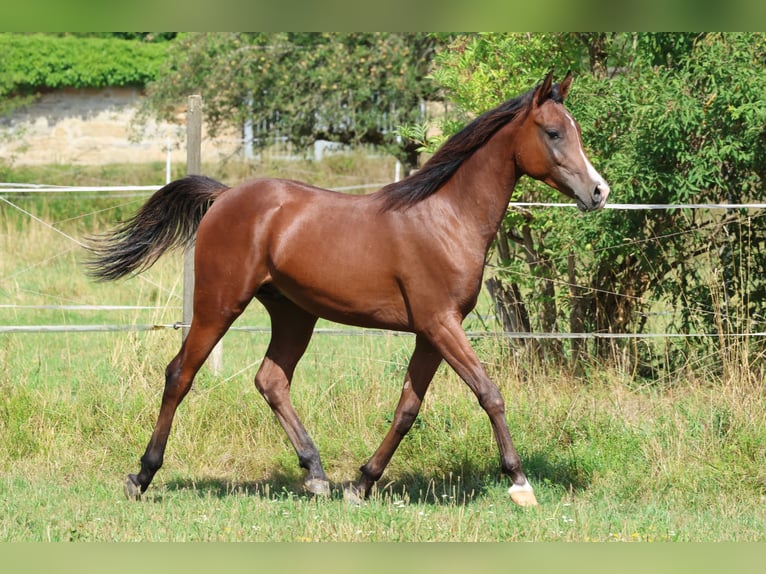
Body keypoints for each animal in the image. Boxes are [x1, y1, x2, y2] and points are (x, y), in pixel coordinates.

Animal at [86, 71, 609, 507]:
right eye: (554, 132)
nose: (599, 192)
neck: (447, 217)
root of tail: (226, 196)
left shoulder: (431, 333)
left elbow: (408, 408)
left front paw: (362, 484)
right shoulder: (441, 324)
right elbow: (489, 393)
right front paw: (520, 484)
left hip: (294, 313)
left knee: (271, 380)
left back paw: (316, 475)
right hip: (218, 304)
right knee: (180, 374)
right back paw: (142, 476)